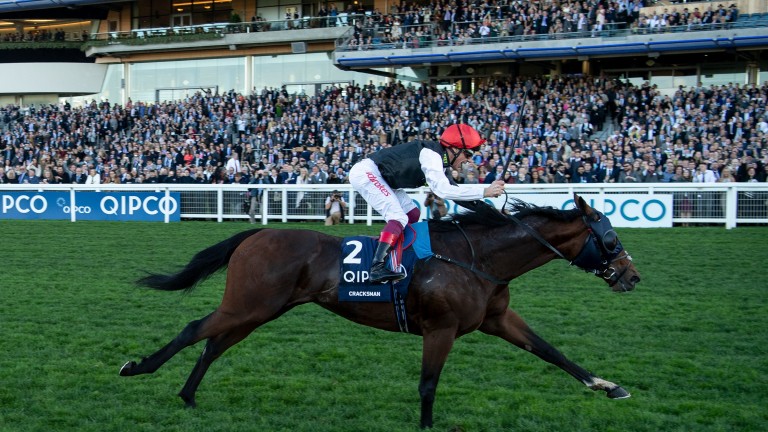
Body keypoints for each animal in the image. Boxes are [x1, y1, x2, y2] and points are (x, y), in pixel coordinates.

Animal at [120, 193, 640, 428]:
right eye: (611, 238)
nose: (632, 276)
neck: (478, 257)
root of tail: (257, 232)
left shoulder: (497, 319)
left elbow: (552, 352)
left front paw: (608, 386)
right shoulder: (441, 327)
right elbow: (428, 384)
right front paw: (427, 426)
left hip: (261, 309)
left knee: (213, 344)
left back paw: (188, 395)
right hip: (251, 302)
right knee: (195, 329)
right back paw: (138, 368)